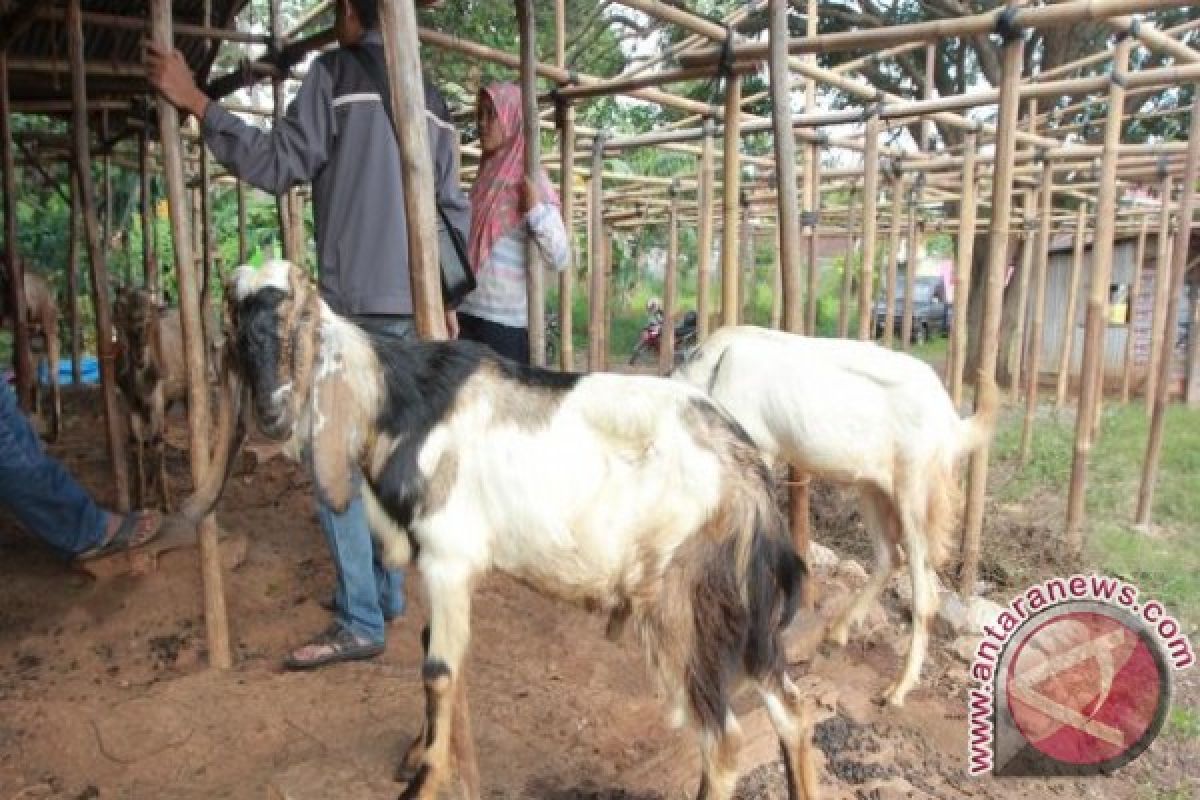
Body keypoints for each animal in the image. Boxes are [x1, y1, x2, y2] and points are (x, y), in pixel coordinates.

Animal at [192, 262, 820, 800]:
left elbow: (438, 669)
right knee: (792, 709)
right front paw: (417, 753)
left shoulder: (448, 557)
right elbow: (436, 651)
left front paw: (424, 780)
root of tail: (747, 471)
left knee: (724, 740)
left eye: (294, 325)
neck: (400, 403)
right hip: (746, 610)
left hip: (681, 607)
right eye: (239, 332)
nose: (272, 414)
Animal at [672, 326, 998, 705]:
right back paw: (839, 631)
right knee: (890, 557)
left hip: (915, 492)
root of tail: (950, 421)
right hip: (872, 488)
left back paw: (899, 688)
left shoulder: (757, 451)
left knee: (924, 591)